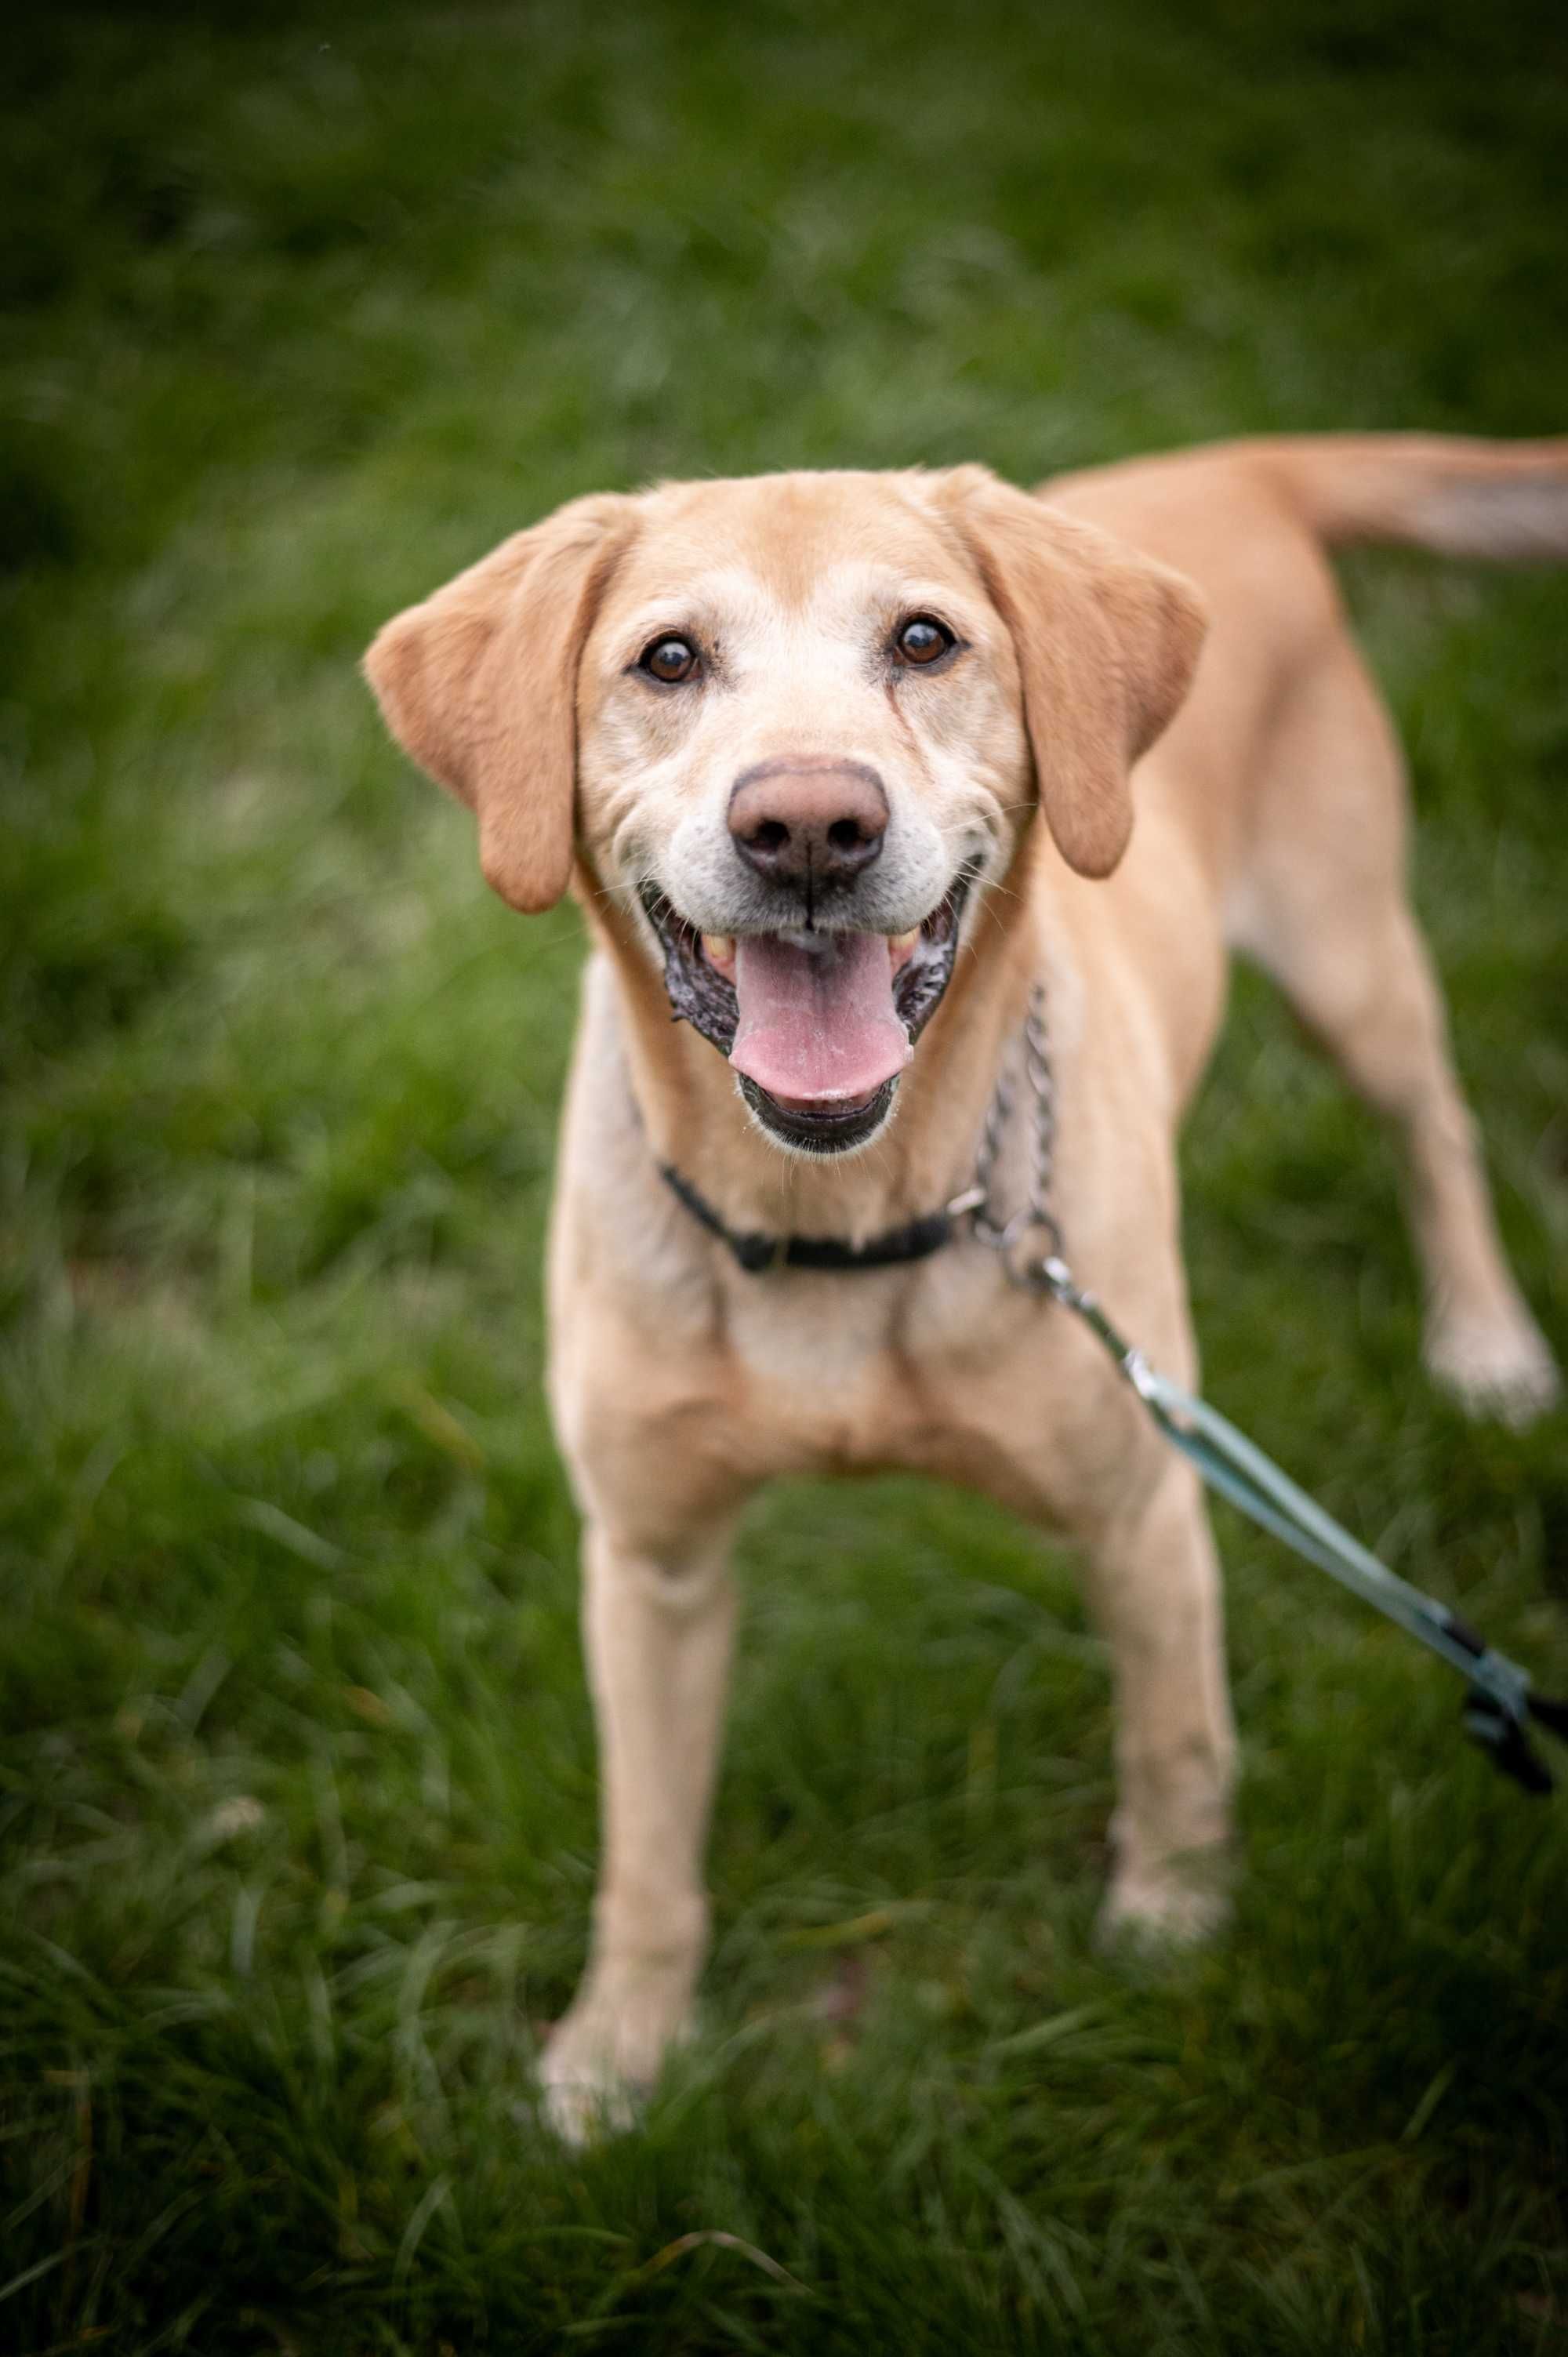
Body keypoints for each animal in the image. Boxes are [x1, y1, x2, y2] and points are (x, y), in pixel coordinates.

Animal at [363, 429, 1555, 2140]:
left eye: (924, 641)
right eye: (668, 659)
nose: (808, 825)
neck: (836, 1220)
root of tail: (1234, 468)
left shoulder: (1144, 1506)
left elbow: (1173, 1747)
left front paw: (1173, 1925)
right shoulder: (650, 1562)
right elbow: (649, 1851)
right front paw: (615, 2048)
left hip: (1354, 962)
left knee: (1435, 1129)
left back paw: (1487, 1346)